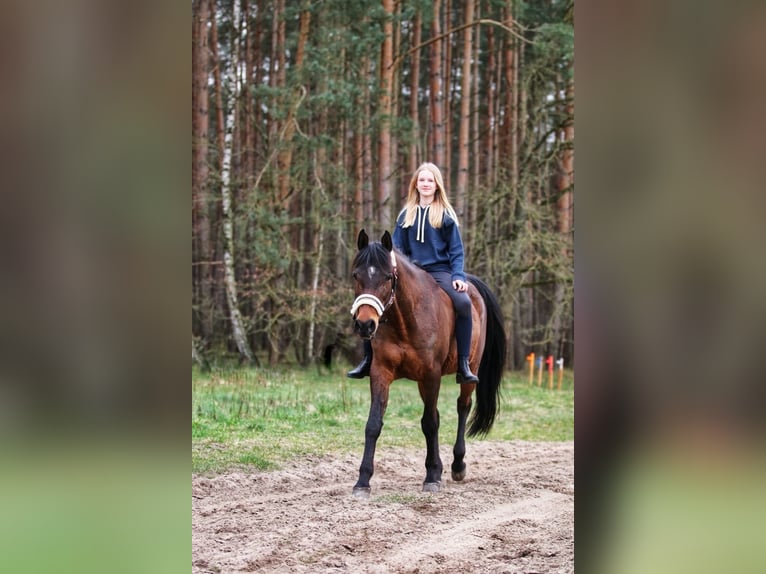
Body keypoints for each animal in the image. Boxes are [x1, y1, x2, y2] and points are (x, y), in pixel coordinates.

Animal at [349, 229, 506, 497]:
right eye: (356, 275)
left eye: (388, 277)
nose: (365, 324)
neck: (405, 318)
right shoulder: (381, 373)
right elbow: (373, 424)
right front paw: (363, 481)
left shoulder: (431, 374)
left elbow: (429, 423)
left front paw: (432, 476)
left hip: (468, 371)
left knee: (462, 406)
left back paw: (457, 465)